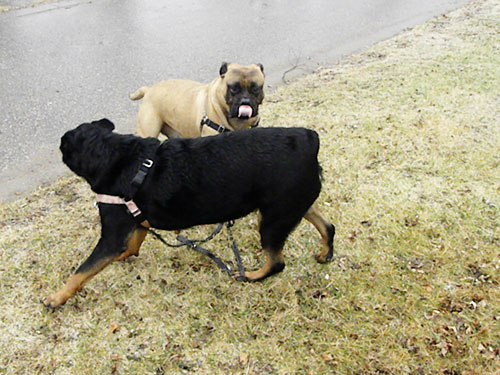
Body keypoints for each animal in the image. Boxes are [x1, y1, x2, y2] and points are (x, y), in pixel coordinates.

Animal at [42, 119, 332, 308]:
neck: (115, 155)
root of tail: (310, 140)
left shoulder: (111, 235)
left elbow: (81, 271)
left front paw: (56, 297)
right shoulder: (135, 220)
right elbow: (136, 240)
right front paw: (127, 255)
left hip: (273, 218)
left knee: (276, 262)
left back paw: (250, 276)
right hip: (292, 204)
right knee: (327, 226)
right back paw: (324, 254)